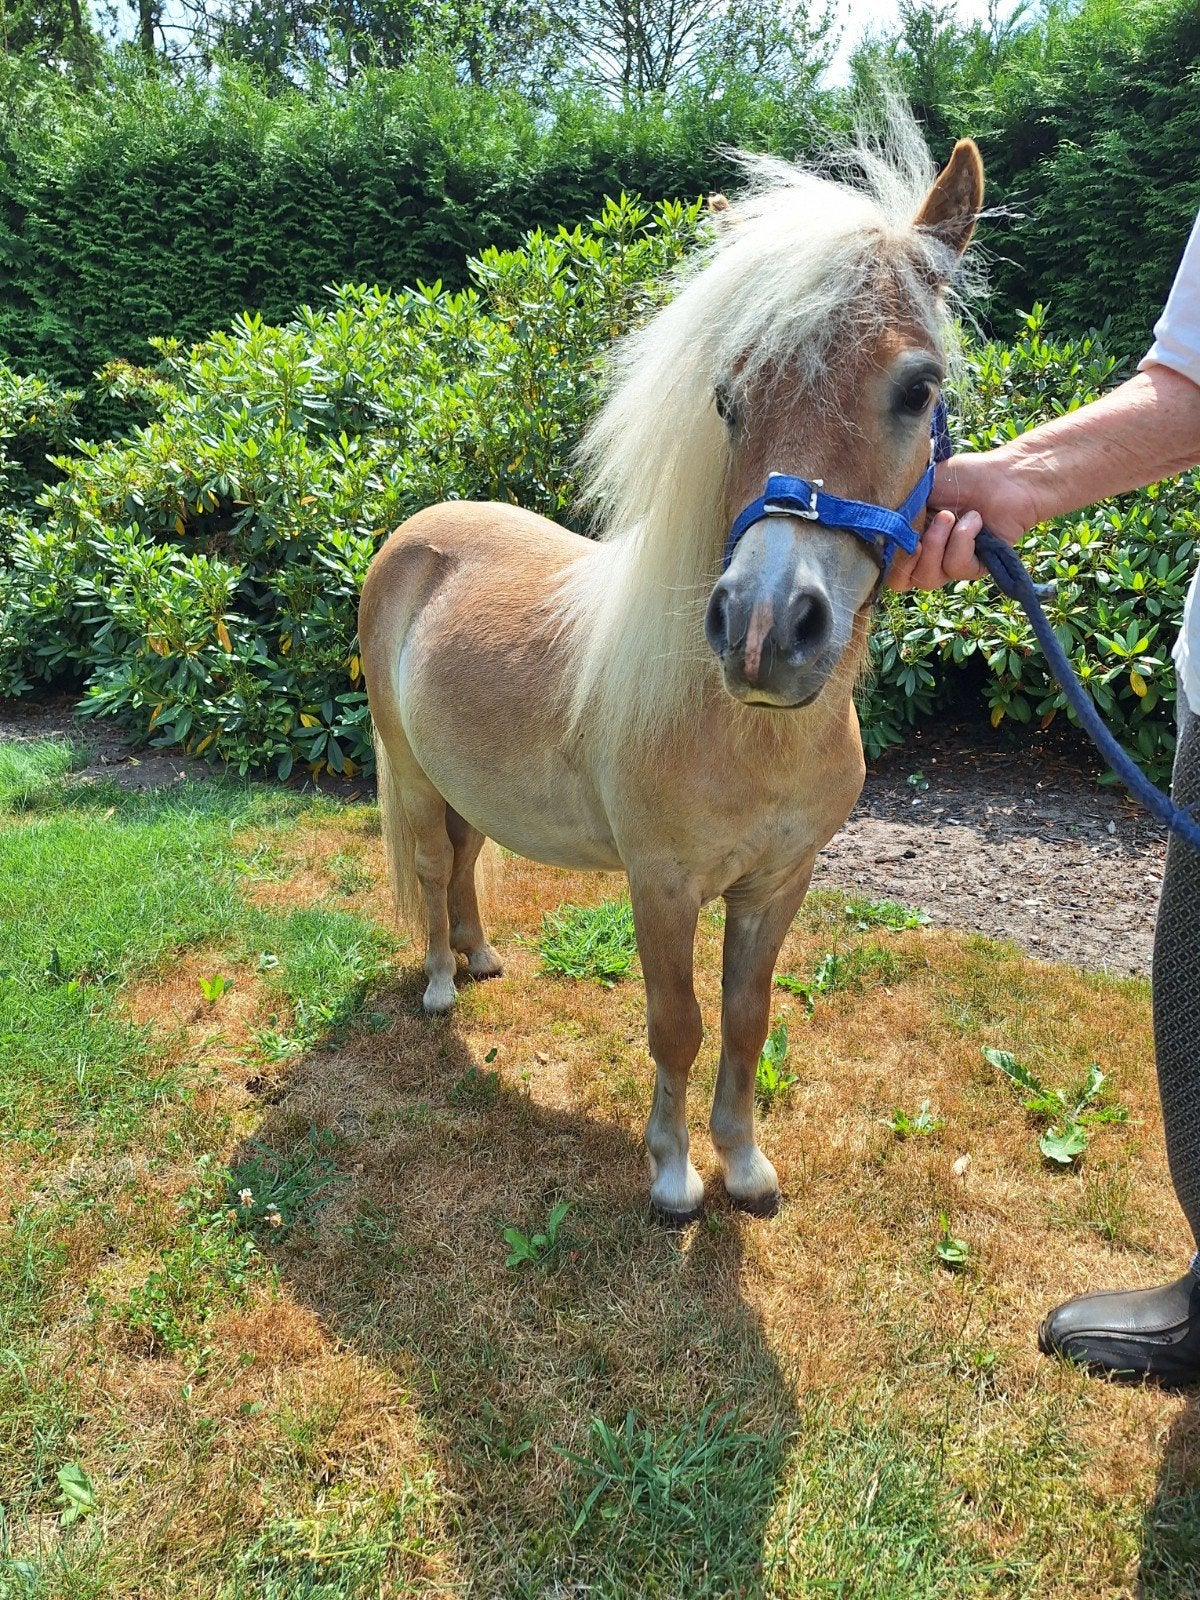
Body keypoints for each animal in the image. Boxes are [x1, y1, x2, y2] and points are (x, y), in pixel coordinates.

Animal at [359, 121, 984, 1224]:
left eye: (919, 388)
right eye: (727, 399)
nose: (765, 630)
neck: (748, 731)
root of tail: (416, 533)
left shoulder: (776, 884)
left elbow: (745, 1019)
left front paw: (745, 1165)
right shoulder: (662, 886)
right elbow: (677, 1025)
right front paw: (674, 1176)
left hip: (465, 780)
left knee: (468, 861)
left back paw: (481, 956)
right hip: (416, 774)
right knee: (432, 869)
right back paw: (438, 980)